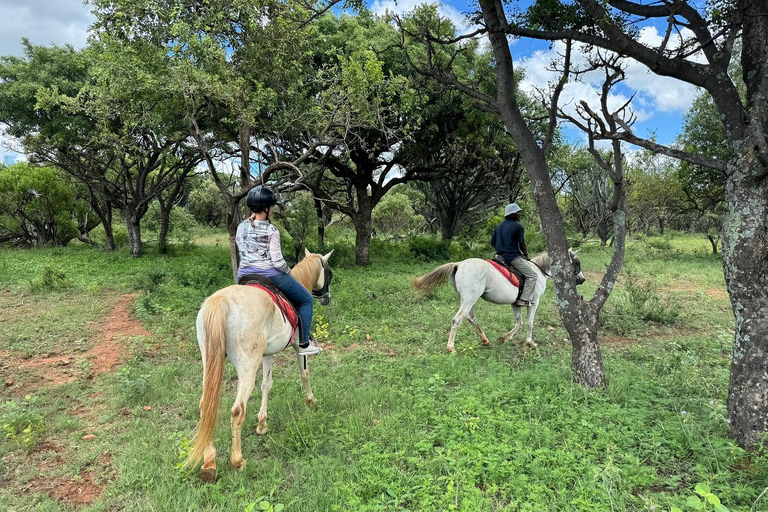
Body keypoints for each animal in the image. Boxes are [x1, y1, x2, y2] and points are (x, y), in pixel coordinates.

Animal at [186, 248, 332, 480]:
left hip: (208, 361)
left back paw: (209, 462)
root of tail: (221, 301)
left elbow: (266, 384)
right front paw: (311, 402)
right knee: (237, 410)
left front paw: (262, 424)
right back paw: (237, 461)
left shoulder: (267, 354)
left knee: (206, 405)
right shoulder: (297, 347)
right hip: (247, 366)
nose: (327, 298)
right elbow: (304, 373)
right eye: (328, 272)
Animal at [414, 251, 584, 352]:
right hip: (469, 299)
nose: (582, 279)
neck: (539, 270)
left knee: (470, 318)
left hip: (468, 299)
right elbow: (529, 323)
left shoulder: (515, 304)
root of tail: (459, 264)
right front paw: (530, 342)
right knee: (457, 320)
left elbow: (519, 323)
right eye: (577, 262)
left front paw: (504, 338)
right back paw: (451, 348)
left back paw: (485, 340)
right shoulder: (534, 302)